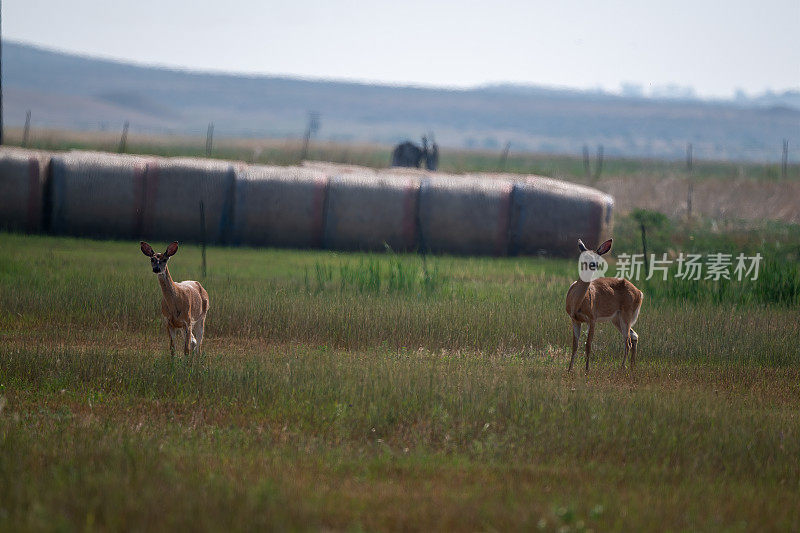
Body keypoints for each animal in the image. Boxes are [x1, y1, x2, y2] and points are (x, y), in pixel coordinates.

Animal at [564, 237, 648, 370]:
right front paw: (569, 370)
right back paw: (632, 366)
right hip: (616, 319)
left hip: (626, 314)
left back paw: (623, 367)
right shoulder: (574, 319)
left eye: (597, 257)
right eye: (585, 256)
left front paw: (587, 370)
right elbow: (575, 345)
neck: (577, 304)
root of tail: (640, 293)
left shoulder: (592, 318)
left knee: (628, 341)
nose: (593, 264)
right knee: (634, 336)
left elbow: (588, 345)